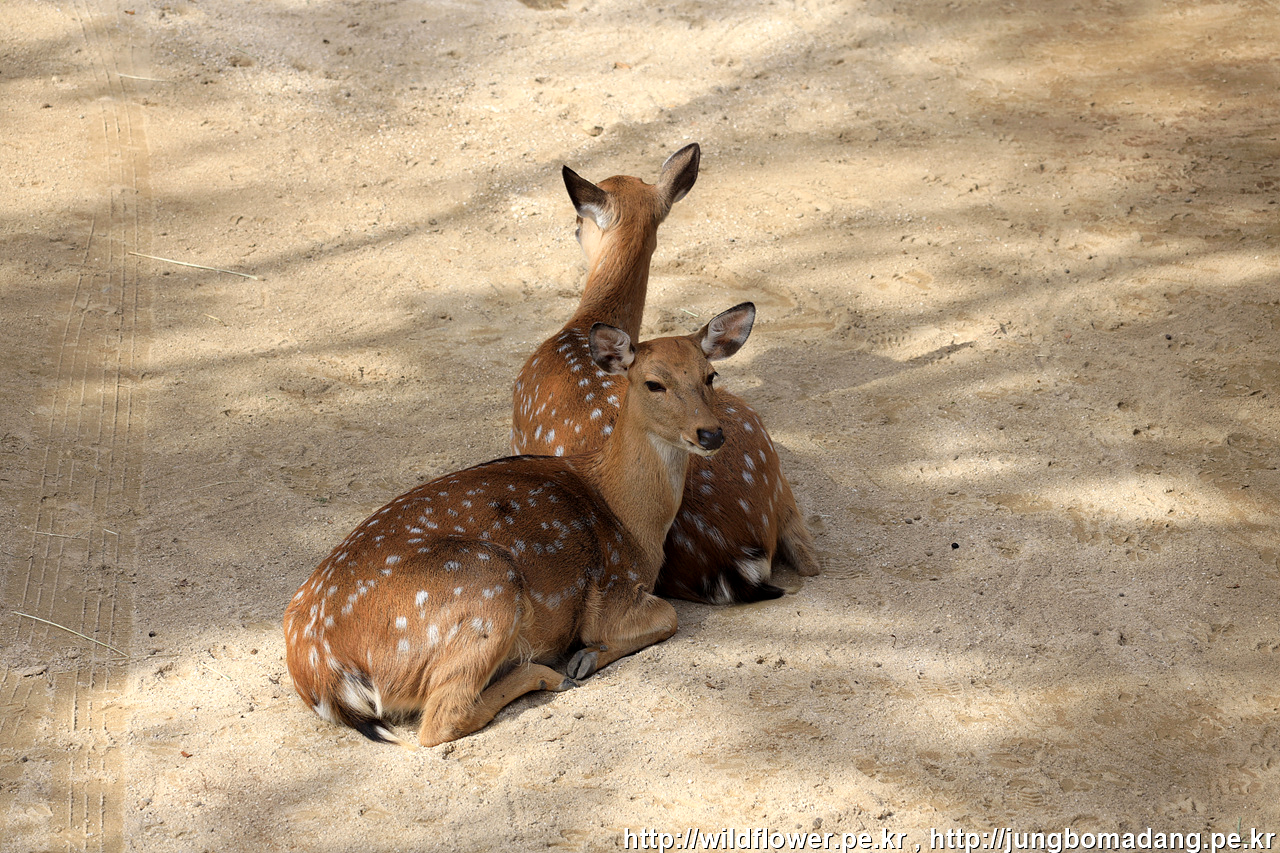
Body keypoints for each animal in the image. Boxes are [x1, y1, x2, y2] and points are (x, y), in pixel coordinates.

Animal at [284, 304, 757, 747]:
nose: (711, 433)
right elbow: (665, 616)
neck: (629, 517)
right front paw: (585, 657)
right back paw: (550, 673)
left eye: (711, 375)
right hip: (486, 584)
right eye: (653, 383)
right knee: (441, 719)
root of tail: (321, 672)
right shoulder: (613, 589)